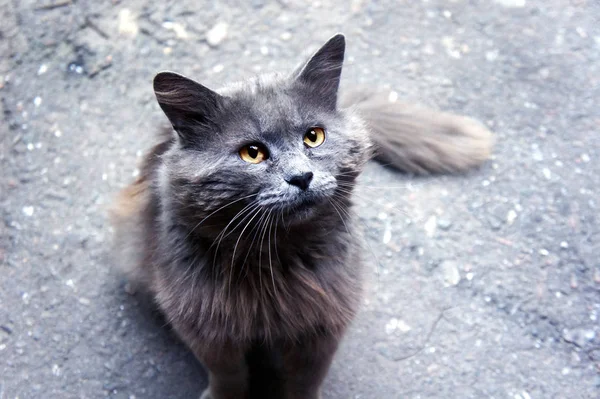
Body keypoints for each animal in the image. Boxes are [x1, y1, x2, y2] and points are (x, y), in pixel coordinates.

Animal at [110, 34, 494, 399]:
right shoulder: (206, 329)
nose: (301, 176)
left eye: (314, 136)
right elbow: (227, 376)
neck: (274, 259)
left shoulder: (323, 325)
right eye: (252, 153)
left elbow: (306, 380)